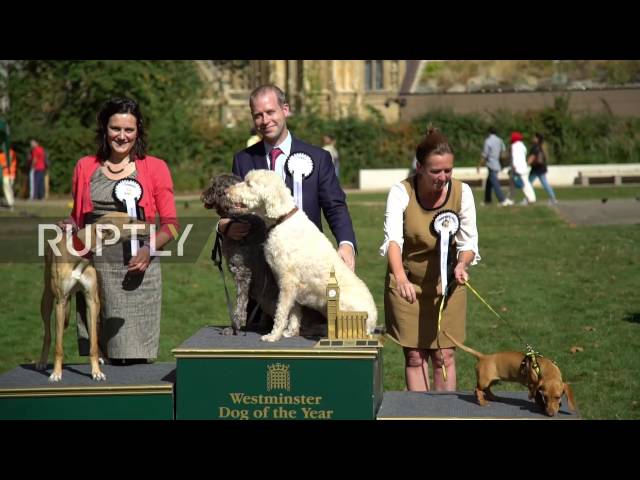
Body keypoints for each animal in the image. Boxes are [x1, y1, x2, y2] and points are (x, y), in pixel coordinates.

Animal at [226, 169, 378, 342]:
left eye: (249, 184)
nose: (227, 191)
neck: (282, 220)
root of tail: (373, 323)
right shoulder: (291, 286)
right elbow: (294, 311)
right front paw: (290, 332)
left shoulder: (287, 282)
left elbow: (281, 312)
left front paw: (273, 335)